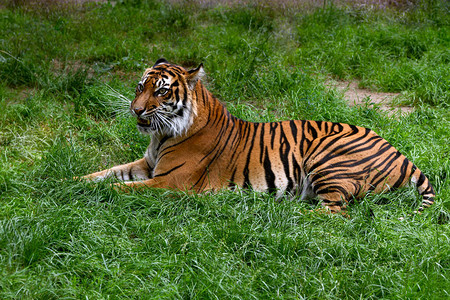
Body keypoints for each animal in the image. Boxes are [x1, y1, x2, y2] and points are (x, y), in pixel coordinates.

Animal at [81, 58, 436, 213]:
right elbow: (105, 173)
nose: (136, 110)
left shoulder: (170, 182)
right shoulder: (146, 164)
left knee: (335, 211)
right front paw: (71, 182)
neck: (162, 136)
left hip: (327, 158)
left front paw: (83, 193)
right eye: (140, 87)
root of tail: (401, 154)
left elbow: (118, 187)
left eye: (162, 91)